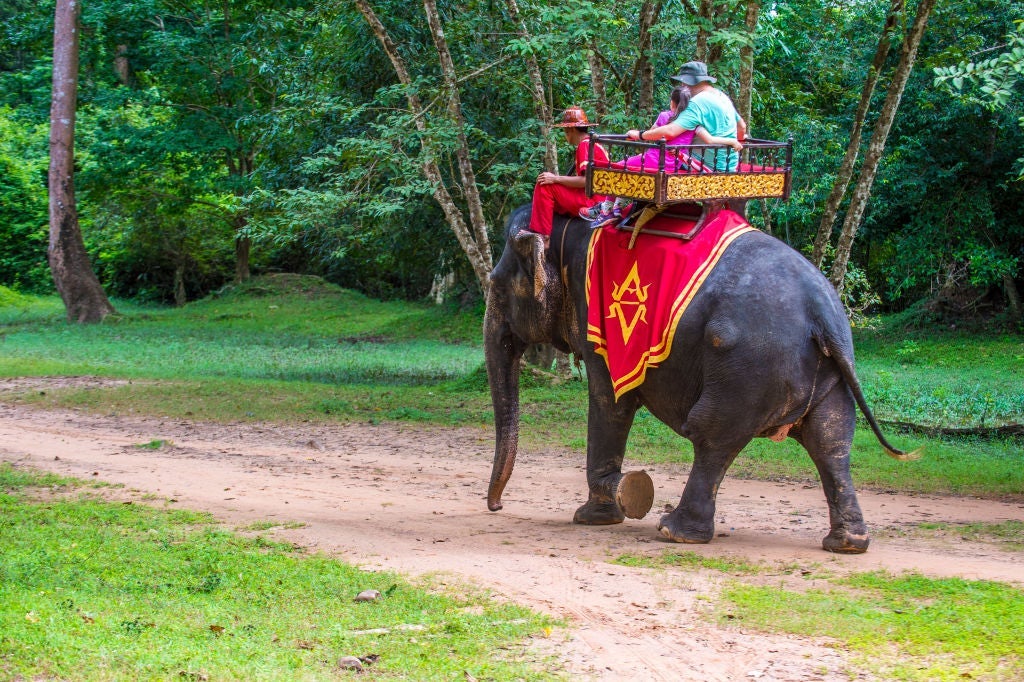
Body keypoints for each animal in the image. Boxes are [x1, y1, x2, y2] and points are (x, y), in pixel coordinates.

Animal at [483, 205, 916, 553]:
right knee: (832, 441)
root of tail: (823, 311)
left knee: (712, 436)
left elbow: (610, 402)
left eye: (496, 286)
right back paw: (848, 544)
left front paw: (599, 510)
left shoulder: (603, 326)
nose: (498, 507)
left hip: (748, 367)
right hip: (824, 372)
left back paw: (675, 532)